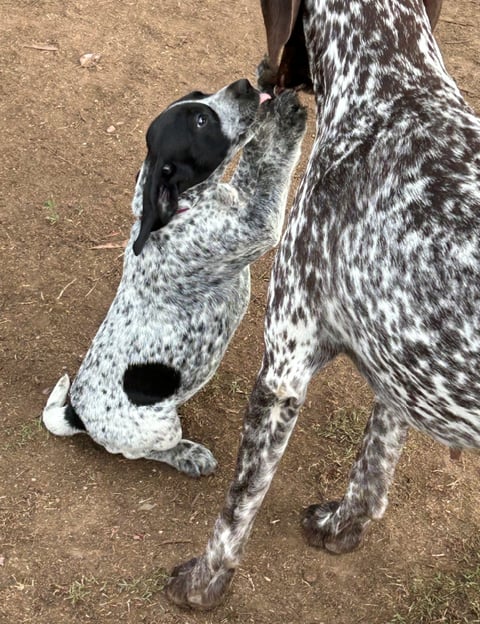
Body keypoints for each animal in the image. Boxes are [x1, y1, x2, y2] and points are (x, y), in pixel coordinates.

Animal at [42, 79, 308, 478]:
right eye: (201, 121)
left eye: (200, 95)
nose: (244, 84)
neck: (185, 208)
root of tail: (77, 416)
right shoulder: (257, 225)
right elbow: (271, 165)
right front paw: (283, 121)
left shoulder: (239, 199)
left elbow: (252, 163)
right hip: (160, 427)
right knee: (140, 452)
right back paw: (188, 456)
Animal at [165, 0, 480, 608]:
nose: (256, 78)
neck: (393, 90)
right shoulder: (402, 367)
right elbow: (373, 471)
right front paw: (341, 527)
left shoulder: (283, 369)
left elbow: (238, 507)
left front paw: (203, 583)